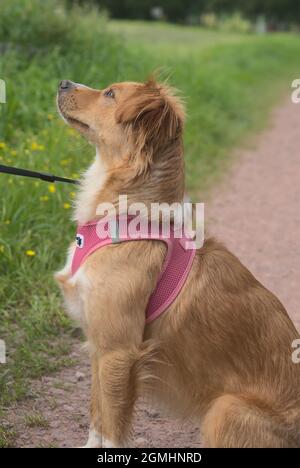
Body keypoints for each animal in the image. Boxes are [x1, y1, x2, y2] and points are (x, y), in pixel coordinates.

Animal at [54, 78, 300, 448]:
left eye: (110, 94)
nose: (63, 82)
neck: (126, 217)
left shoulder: (118, 351)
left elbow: (112, 426)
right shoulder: (99, 346)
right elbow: (97, 415)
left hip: (224, 409)